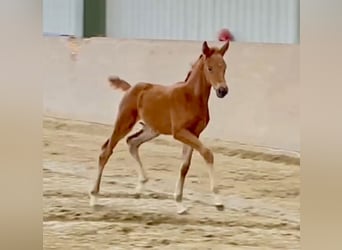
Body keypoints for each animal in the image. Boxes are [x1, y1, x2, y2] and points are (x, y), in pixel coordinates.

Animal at [89, 40, 231, 214]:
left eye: (224, 67)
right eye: (210, 68)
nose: (222, 90)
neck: (191, 97)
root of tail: (131, 88)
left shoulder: (194, 133)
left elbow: (185, 166)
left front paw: (180, 203)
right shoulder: (179, 132)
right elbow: (207, 153)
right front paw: (218, 201)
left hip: (152, 130)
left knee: (132, 142)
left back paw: (140, 187)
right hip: (124, 122)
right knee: (106, 151)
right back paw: (94, 197)